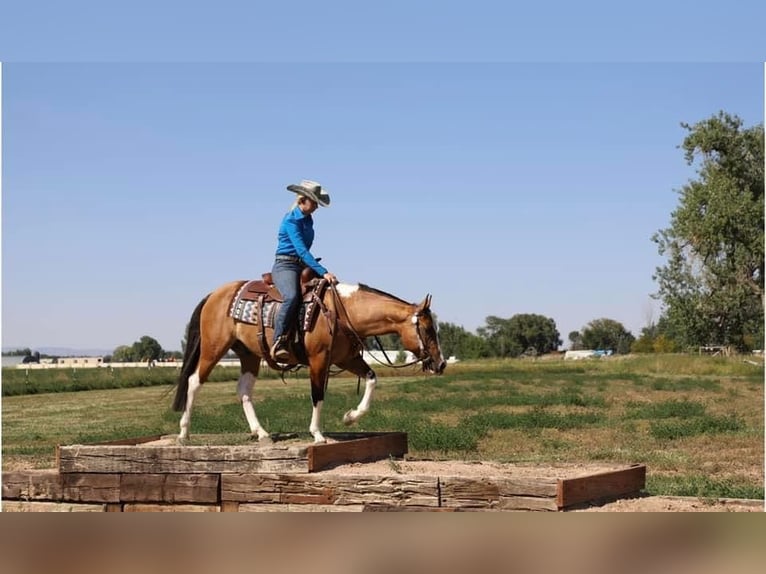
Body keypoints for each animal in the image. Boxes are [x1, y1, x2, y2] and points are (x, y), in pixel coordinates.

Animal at [171, 274, 448, 446]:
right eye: (427, 329)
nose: (441, 363)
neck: (342, 311)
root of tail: (213, 295)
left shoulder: (346, 359)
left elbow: (372, 379)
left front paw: (350, 417)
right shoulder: (319, 359)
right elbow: (318, 394)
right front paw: (317, 434)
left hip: (248, 355)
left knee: (243, 390)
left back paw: (261, 433)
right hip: (214, 348)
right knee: (194, 381)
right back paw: (184, 433)